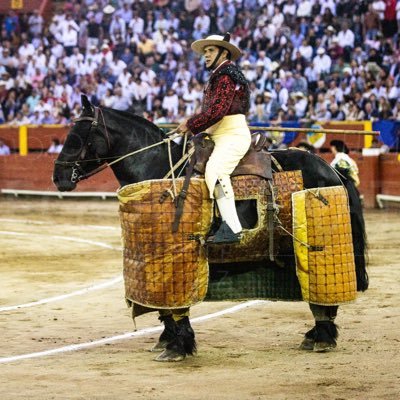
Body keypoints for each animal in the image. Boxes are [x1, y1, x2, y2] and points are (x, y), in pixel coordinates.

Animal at [53, 97, 368, 362]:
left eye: (78, 135)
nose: (58, 177)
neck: (157, 166)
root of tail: (333, 170)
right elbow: (167, 307)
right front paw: (169, 340)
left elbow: (174, 307)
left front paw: (178, 346)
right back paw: (316, 334)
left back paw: (322, 337)